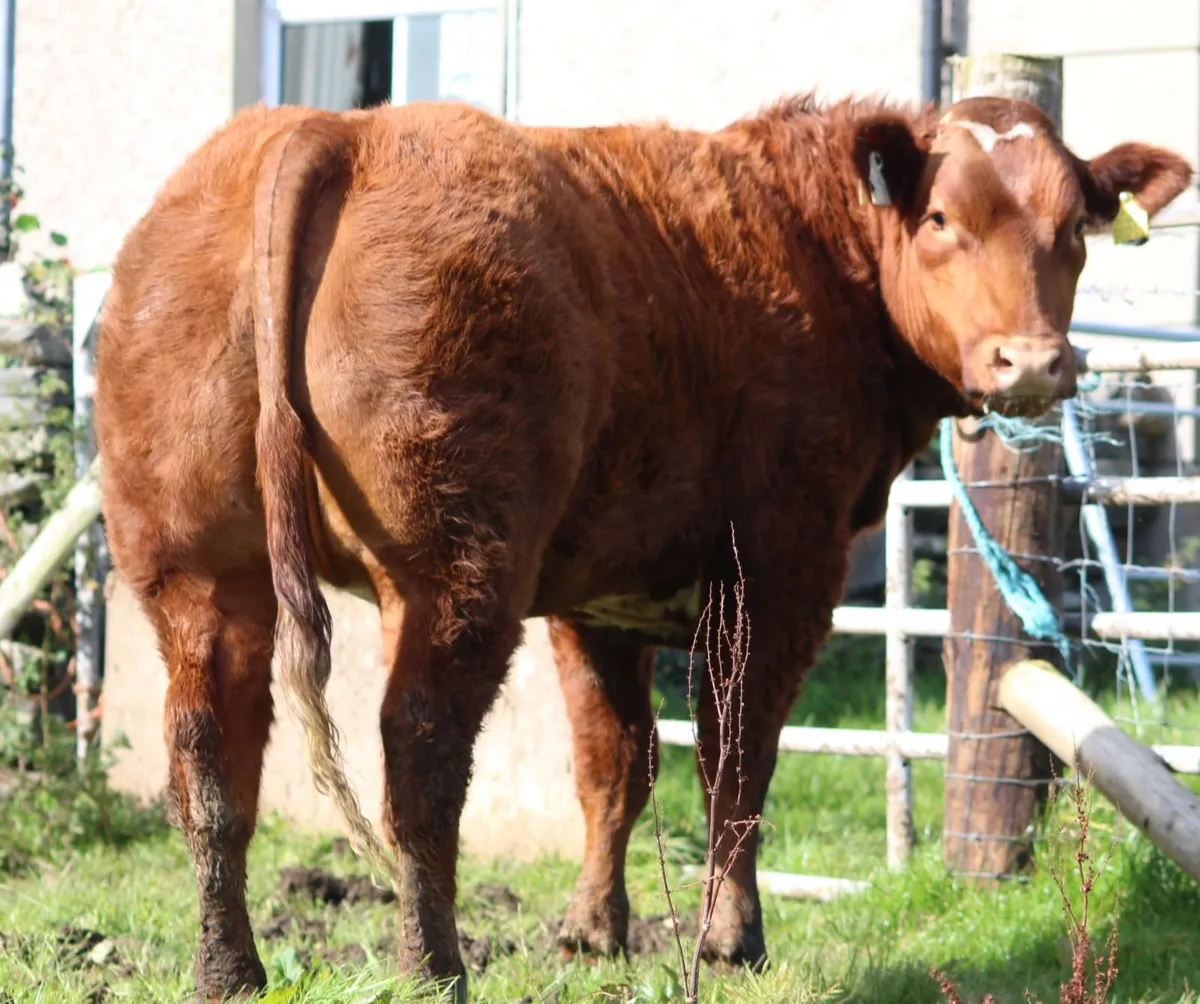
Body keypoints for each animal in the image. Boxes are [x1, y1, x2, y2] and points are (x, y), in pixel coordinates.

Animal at [92, 90, 1192, 1001]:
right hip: (455, 563)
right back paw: (433, 966)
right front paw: (731, 938)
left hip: (197, 567)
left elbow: (614, 762)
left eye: (1074, 229)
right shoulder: (778, 567)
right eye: (939, 220)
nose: (1034, 362)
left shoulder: (596, 595)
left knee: (210, 758)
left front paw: (592, 930)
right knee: (419, 749)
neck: (810, 250)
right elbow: (733, 755)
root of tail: (336, 129)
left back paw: (230, 969)